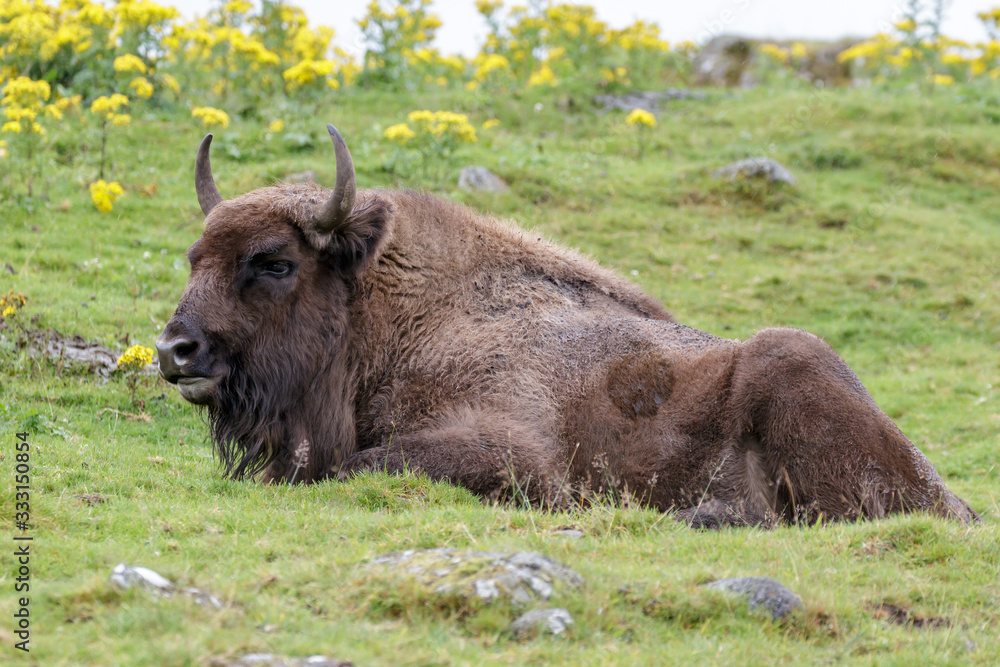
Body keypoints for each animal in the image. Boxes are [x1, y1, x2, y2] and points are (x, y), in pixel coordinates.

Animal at [156, 125, 976, 528]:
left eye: (274, 261)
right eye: (195, 256)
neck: (398, 317)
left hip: (791, 359)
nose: (175, 349)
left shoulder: (512, 449)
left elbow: (359, 466)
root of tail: (949, 495)